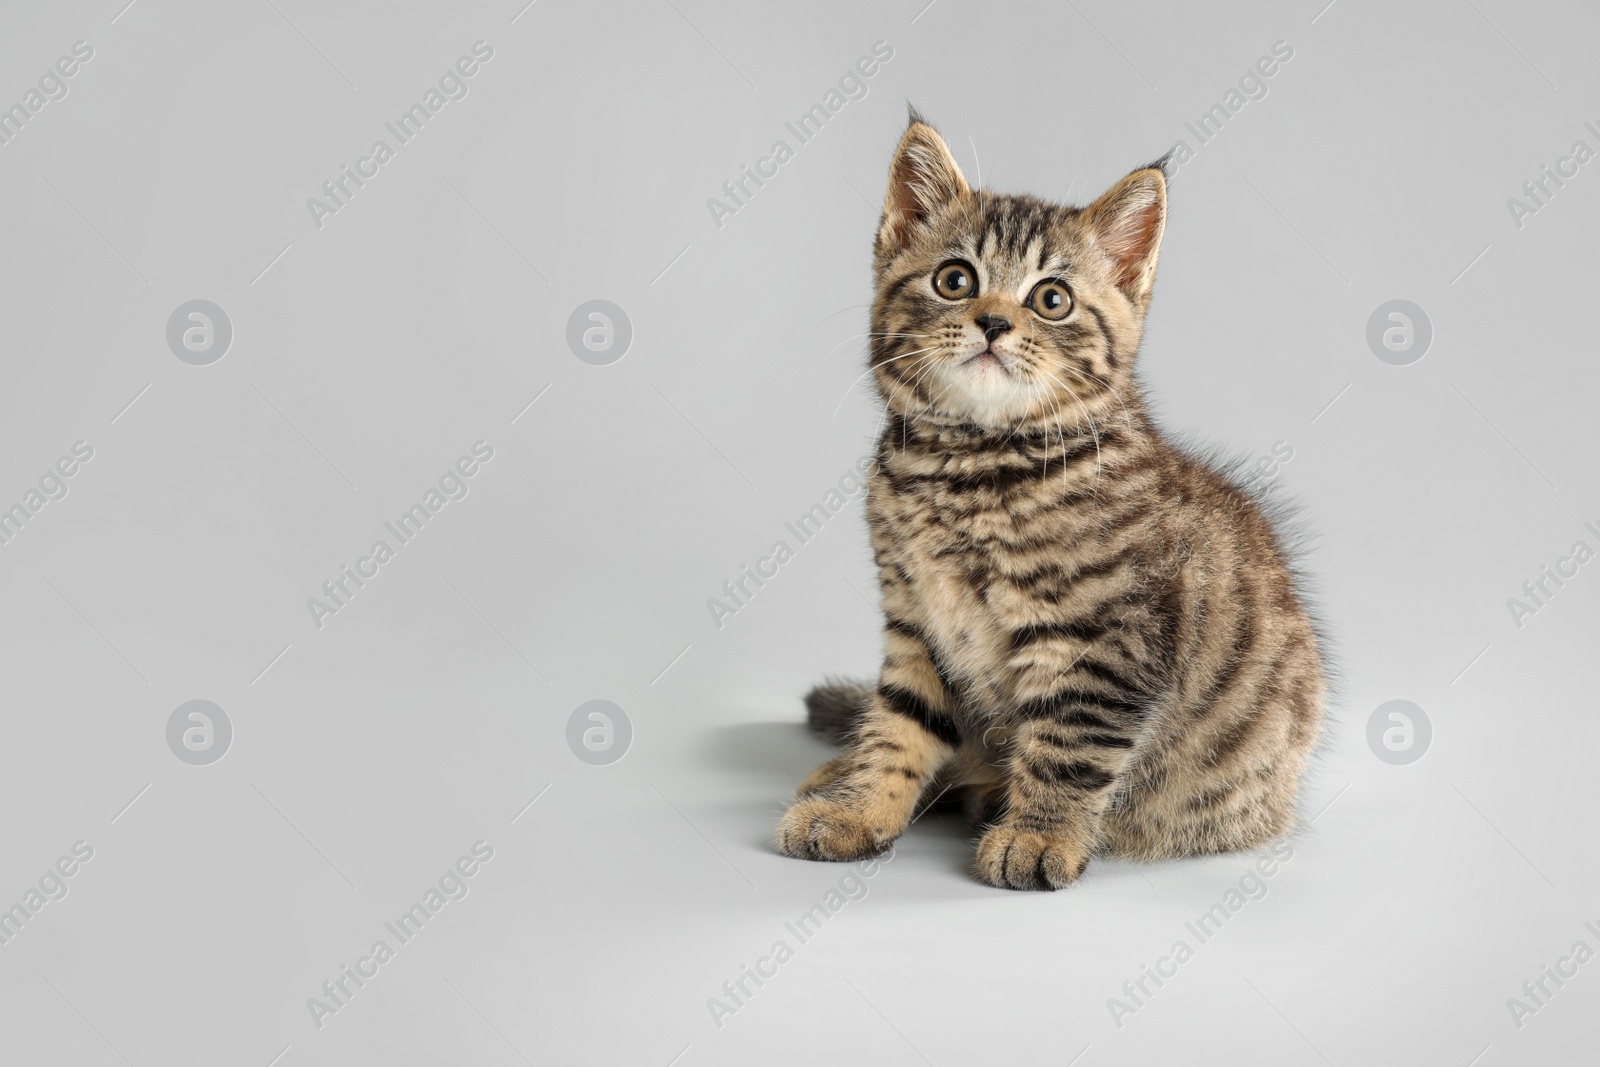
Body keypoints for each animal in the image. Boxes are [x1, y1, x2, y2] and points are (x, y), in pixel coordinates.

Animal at [777, 112, 1324, 889]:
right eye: (955, 280)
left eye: (1051, 299)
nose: (993, 323)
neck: (971, 470)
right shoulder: (916, 622)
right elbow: (899, 723)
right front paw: (860, 805)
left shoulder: (1104, 642)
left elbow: (1069, 746)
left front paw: (1038, 835)